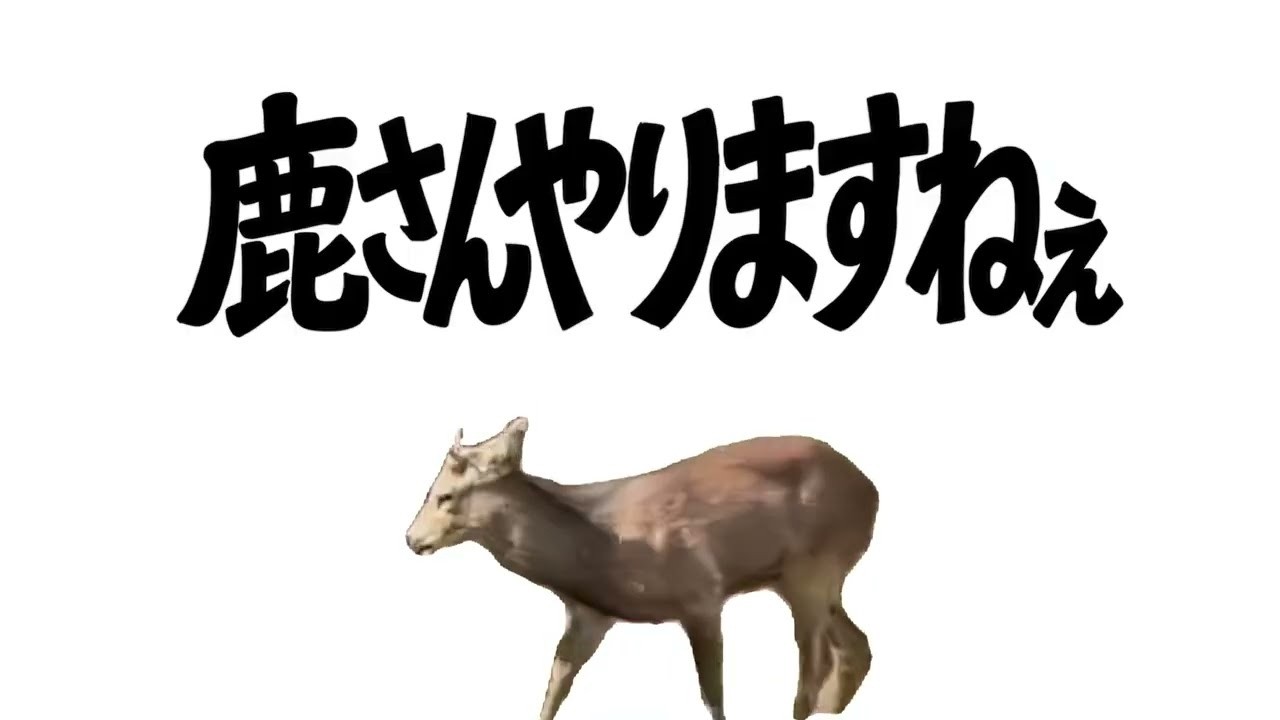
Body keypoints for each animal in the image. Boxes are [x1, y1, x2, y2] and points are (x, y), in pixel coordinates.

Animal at [404, 417, 879, 720]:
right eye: (432, 490)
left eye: (446, 496)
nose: (411, 539)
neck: (600, 547)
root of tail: (870, 487)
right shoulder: (590, 615)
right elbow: (556, 683)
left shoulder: (701, 594)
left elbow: (713, 695)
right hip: (802, 578)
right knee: (856, 646)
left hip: (812, 568)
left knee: (811, 673)